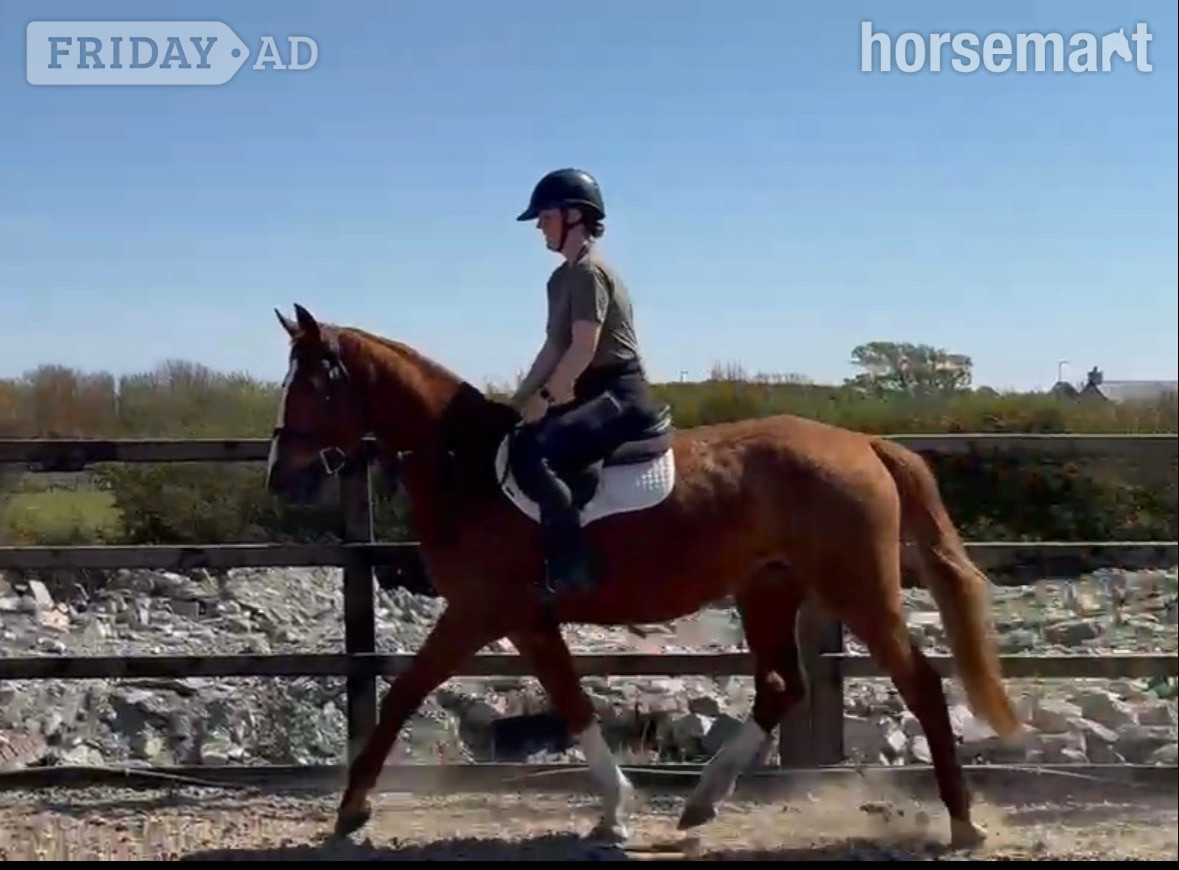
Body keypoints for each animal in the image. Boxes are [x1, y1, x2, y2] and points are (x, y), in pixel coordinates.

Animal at [264, 303, 1024, 850]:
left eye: (313, 384)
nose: (280, 477)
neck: (467, 467)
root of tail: (862, 442)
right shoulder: (525, 619)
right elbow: (569, 701)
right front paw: (614, 812)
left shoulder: (484, 612)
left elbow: (404, 696)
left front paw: (352, 809)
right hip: (767, 589)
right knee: (783, 685)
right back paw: (701, 804)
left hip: (857, 590)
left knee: (919, 684)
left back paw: (962, 822)